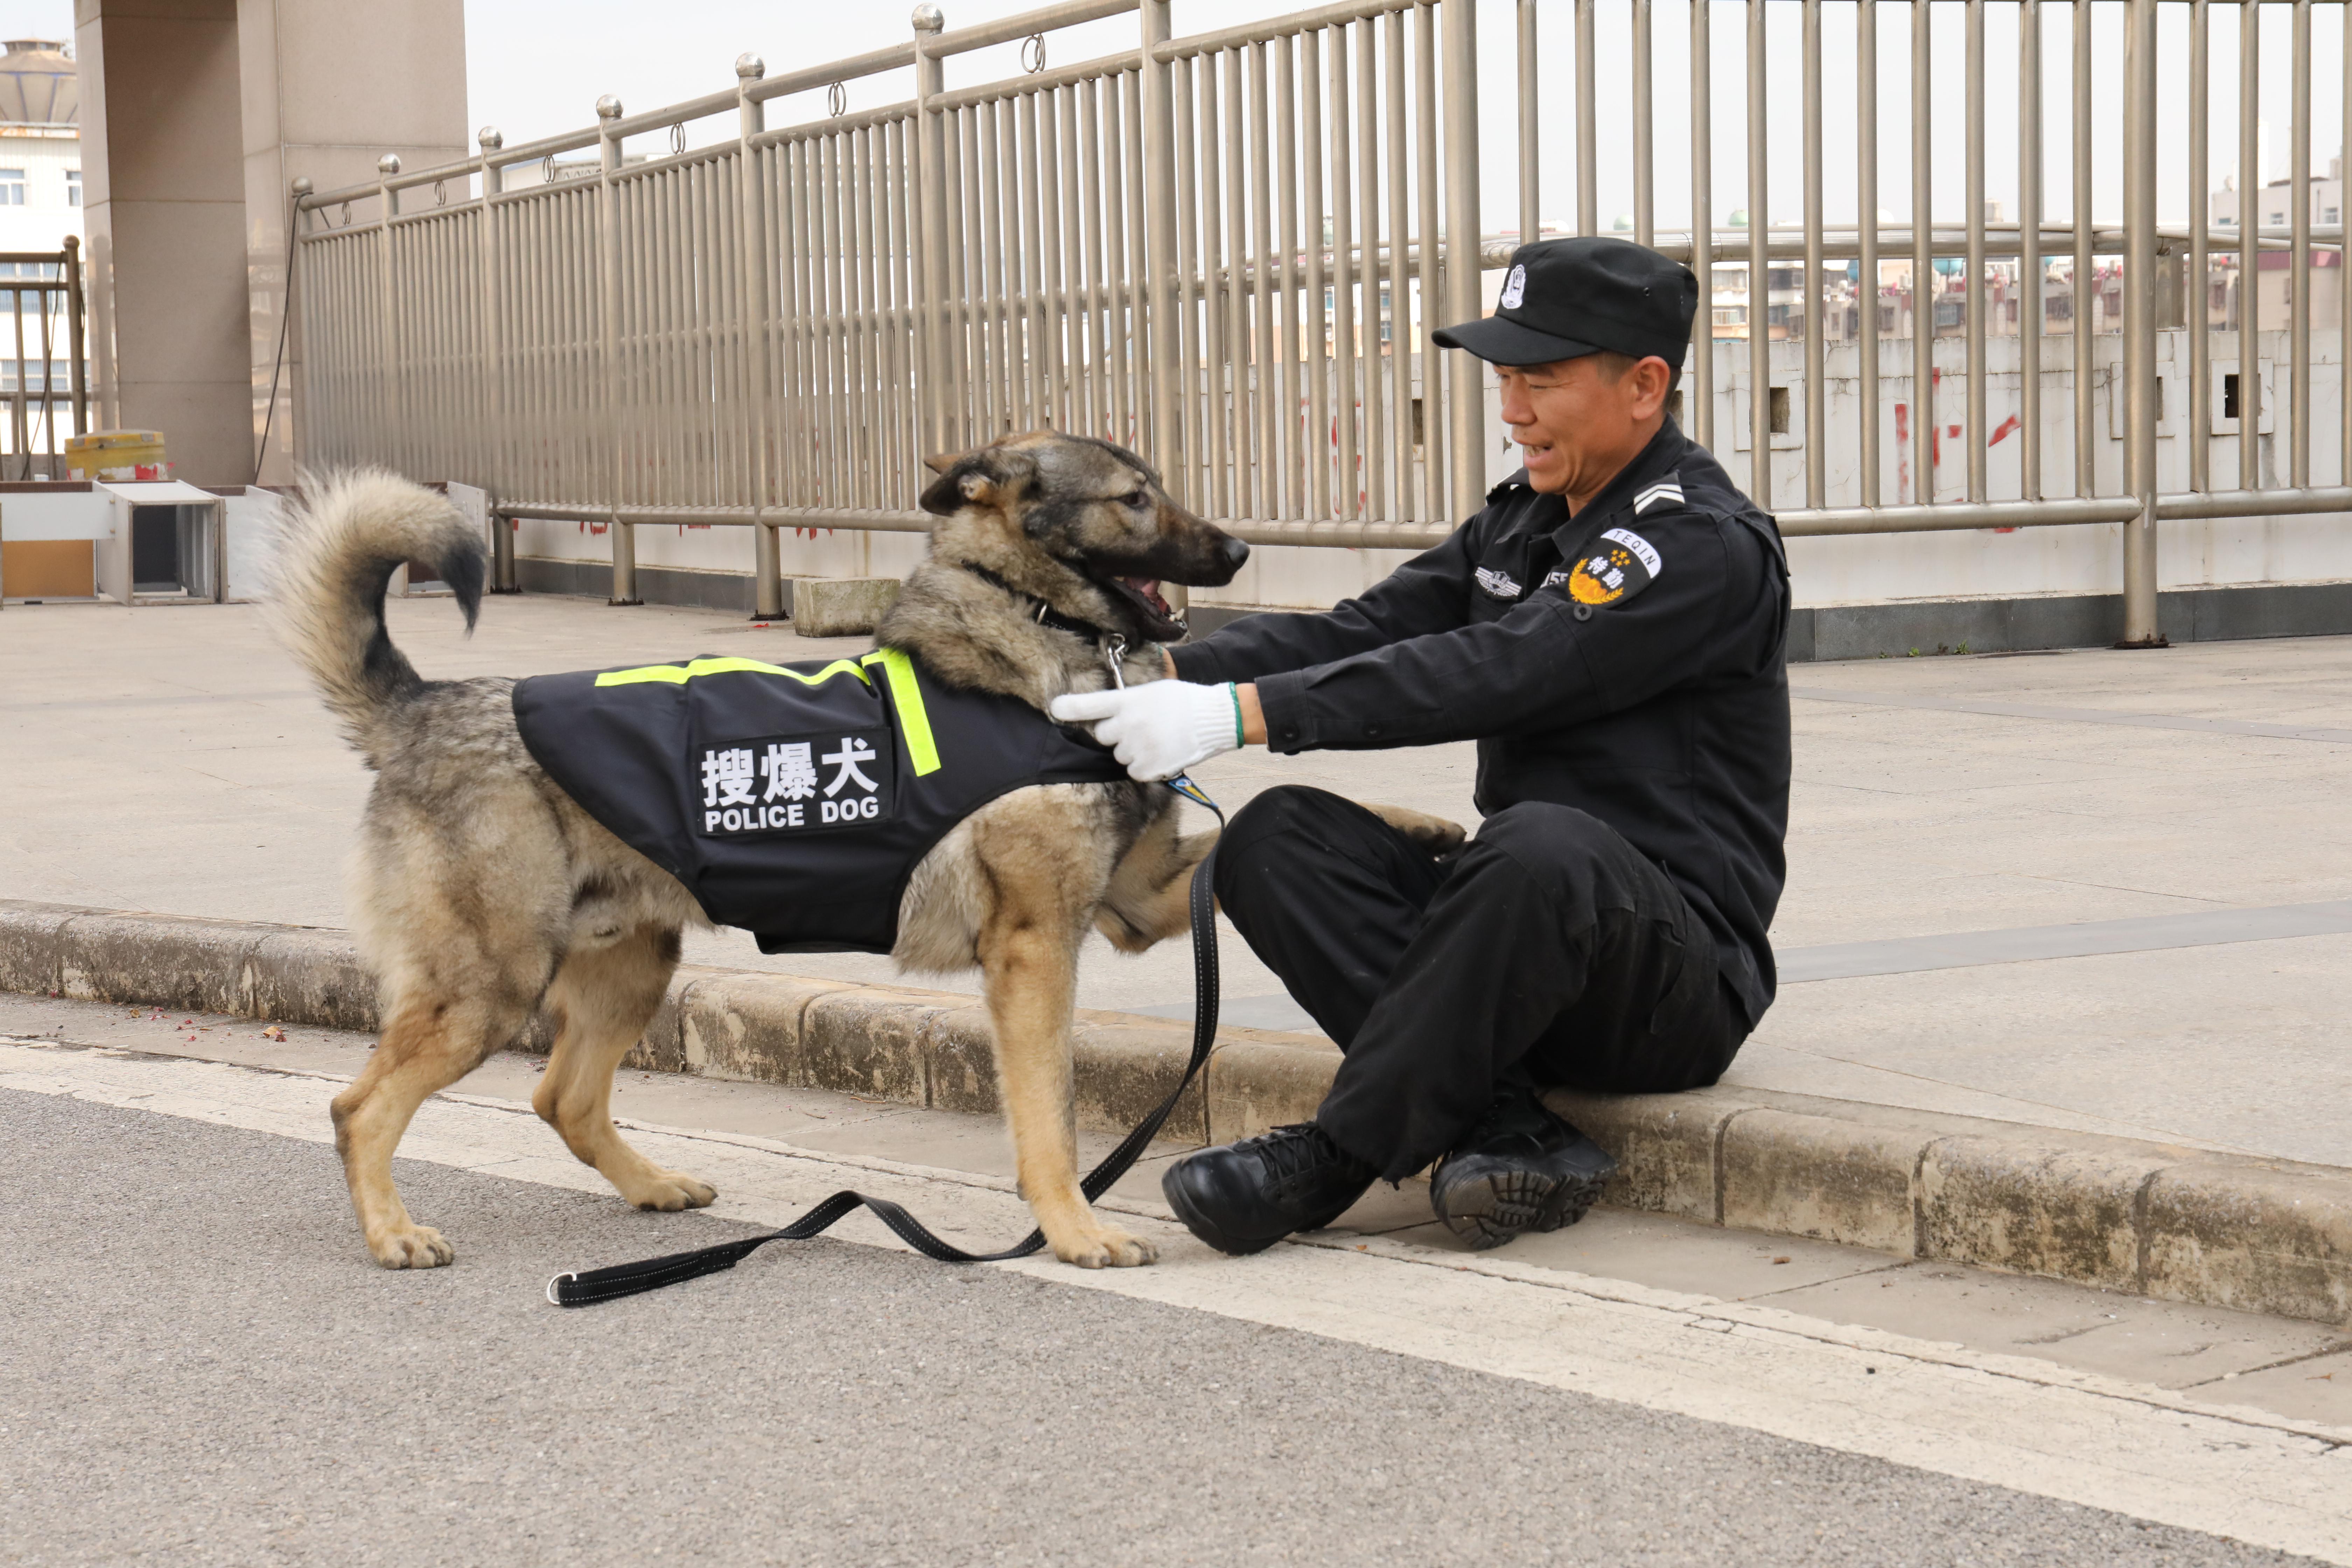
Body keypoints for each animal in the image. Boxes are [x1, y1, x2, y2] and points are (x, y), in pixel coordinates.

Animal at [270, 432, 1449, 1279]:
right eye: (1133, 500)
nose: (1244, 554)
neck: (1031, 638)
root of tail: (423, 708)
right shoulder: (1038, 955)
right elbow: (1050, 1121)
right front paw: (1072, 1231)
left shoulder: (1137, 902)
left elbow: (1257, 827)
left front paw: (1425, 829)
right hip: (491, 988)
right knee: (359, 1109)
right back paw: (393, 1234)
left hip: (627, 969)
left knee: (562, 1099)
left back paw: (652, 1188)